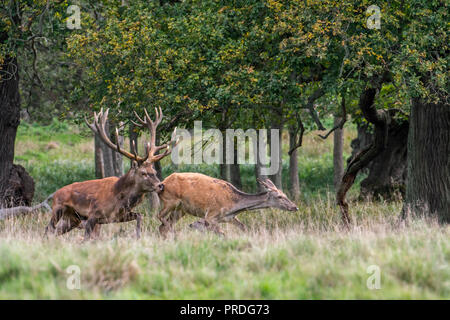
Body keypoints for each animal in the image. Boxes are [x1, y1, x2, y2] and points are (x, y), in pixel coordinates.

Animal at [45, 107, 178, 240]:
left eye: (154, 171)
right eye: (143, 173)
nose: (160, 185)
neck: (119, 199)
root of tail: (55, 194)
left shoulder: (119, 216)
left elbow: (140, 216)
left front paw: (138, 236)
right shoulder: (93, 214)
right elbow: (87, 237)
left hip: (72, 219)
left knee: (54, 231)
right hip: (58, 209)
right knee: (48, 228)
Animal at [158, 172, 298, 238]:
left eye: (285, 194)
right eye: (280, 197)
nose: (295, 207)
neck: (233, 206)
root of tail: (162, 182)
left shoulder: (229, 218)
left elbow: (244, 227)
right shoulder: (210, 216)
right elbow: (223, 234)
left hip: (180, 210)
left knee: (163, 226)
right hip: (170, 201)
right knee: (161, 219)